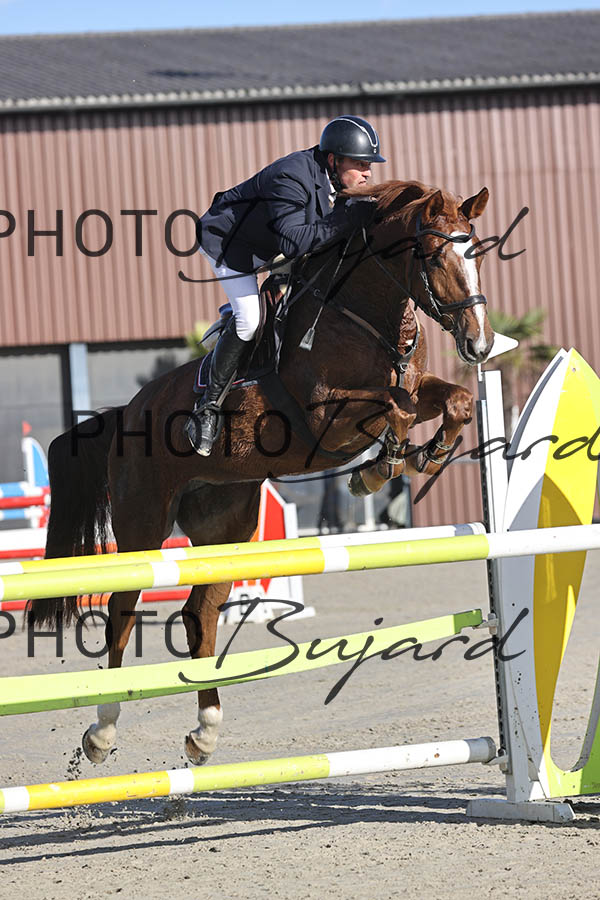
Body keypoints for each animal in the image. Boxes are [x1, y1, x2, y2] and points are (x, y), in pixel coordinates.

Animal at [27, 179, 494, 766]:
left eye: (478, 253)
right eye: (434, 255)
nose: (480, 344)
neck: (366, 314)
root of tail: (127, 412)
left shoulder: (414, 384)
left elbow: (451, 401)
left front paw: (420, 456)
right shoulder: (325, 416)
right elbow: (397, 406)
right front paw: (380, 468)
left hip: (226, 524)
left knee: (199, 614)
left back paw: (205, 730)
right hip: (143, 522)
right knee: (123, 608)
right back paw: (102, 731)